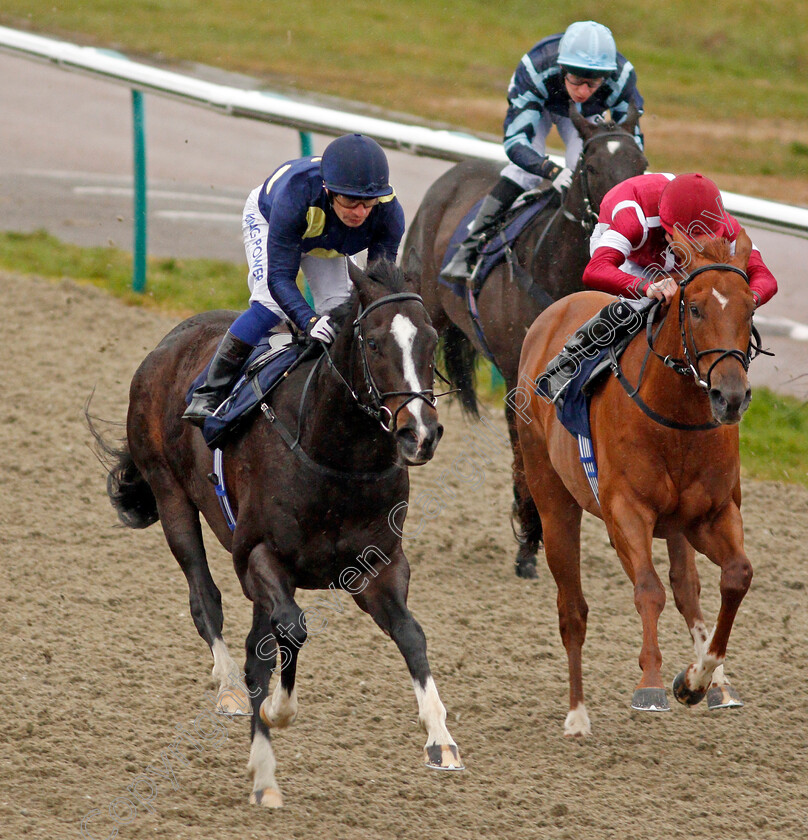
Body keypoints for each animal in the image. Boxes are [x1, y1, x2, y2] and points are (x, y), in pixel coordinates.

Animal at [90, 260, 460, 808]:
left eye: (431, 341)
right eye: (373, 343)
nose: (419, 433)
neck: (337, 458)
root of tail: (169, 342)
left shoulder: (379, 565)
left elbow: (411, 634)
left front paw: (441, 739)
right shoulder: (258, 557)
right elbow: (292, 629)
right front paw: (276, 712)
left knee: (255, 641)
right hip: (171, 496)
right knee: (206, 600)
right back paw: (231, 695)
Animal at [404, 103, 652, 576]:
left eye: (641, 166)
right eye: (591, 166)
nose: (630, 229)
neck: (555, 269)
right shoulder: (516, 379)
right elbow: (524, 454)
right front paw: (530, 543)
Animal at [516, 230, 764, 736]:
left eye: (750, 308)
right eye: (695, 308)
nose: (730, 397)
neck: (676, 417)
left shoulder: (712, 515)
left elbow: (736, 576)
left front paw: (696, 679)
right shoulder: (626, 511)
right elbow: (648, 590)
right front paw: (651, 683)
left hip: (676, 526)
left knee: (686, 587)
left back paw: (717, 686)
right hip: (554, 503)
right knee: (573, 611)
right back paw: (577, 715)